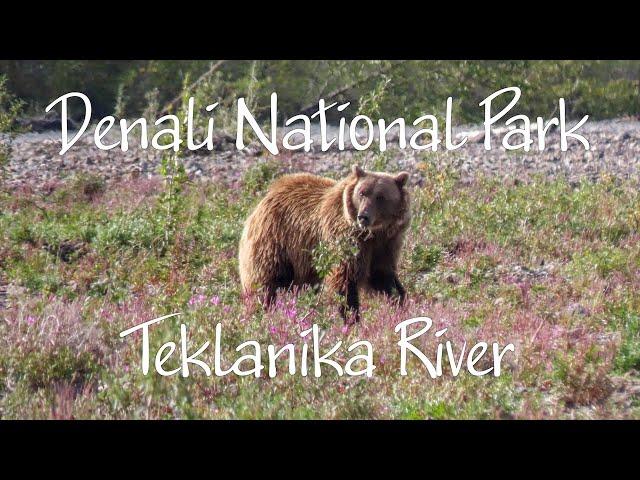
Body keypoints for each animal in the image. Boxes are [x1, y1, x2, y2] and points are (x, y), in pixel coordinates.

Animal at [239, 164, 410, 322]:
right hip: (274, 243)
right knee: (266, 285)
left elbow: (382, 276)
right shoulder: (345, 241)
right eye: (362, 193)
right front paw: (350, 317)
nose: (363, 217)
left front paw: (401, 303)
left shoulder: (385, 245)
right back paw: (260, 312)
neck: (372, 234)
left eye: (380, 197)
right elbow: (344, 280)